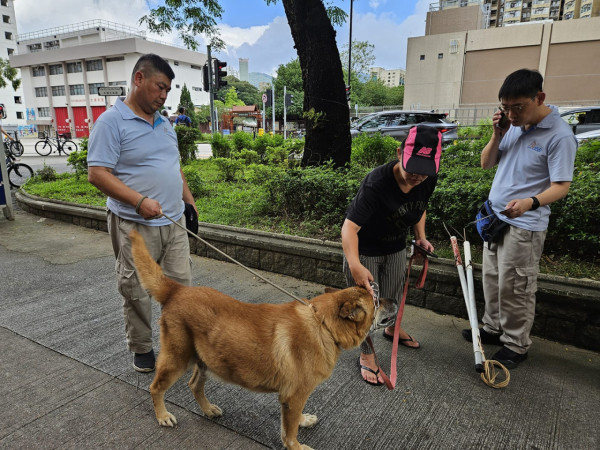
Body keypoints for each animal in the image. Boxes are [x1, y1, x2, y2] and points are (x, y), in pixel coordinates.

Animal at [129, 230, 396, 448]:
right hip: (177, 359)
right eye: (376, 298)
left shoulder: (293, 398)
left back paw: (207, 409)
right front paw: (297, 446)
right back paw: (162, 415)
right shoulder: (294, 396)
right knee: (155, 388)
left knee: (194, 385)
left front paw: (303, 420)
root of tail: (177, 290)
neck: (323, 324)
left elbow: (293, 421)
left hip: (206, 360)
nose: (394, 300)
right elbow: (289, 434)